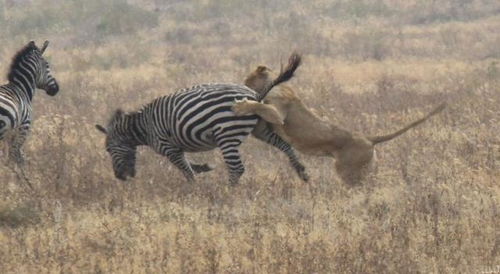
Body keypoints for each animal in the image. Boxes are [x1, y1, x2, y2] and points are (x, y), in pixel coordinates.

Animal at [94, 52, 306, 185]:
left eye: (108, 150)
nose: (120, 177)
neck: (143, 128)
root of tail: (254, 95)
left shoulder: (169, 148)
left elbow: (186, 170)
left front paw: (195, 190)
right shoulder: (177, 148)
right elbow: (190, 166)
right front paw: (204, 167)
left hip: (227, 134)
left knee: (236, 169)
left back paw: (228, 193)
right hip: (259, 128)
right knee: (285, 145)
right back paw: (302, 173)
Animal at [236, 65, 448, 184]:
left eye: (248, 78)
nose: (241, 84)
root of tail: (369, 139)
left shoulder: (278, 112)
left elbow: (259, 104)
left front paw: (240, 105)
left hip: (346, 170)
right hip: (367, 168)